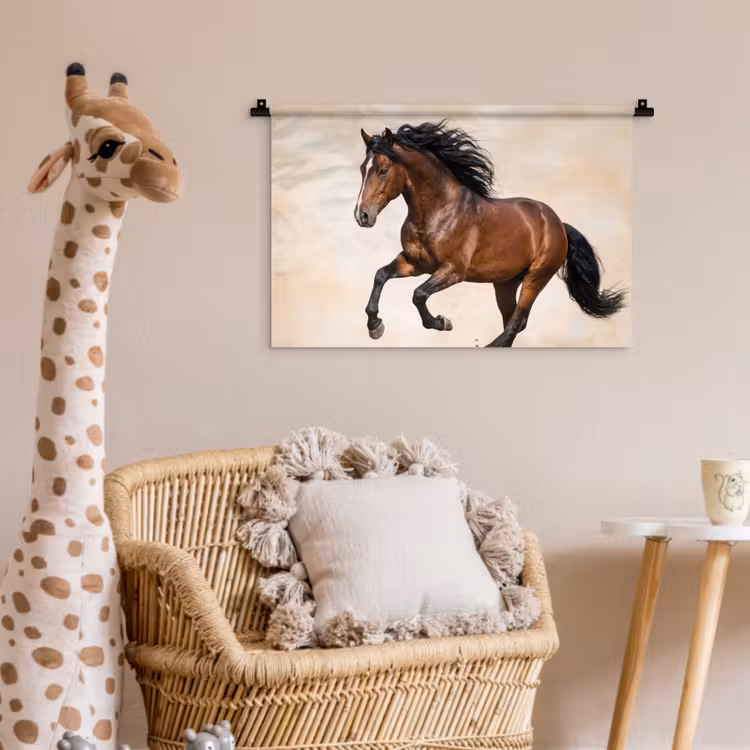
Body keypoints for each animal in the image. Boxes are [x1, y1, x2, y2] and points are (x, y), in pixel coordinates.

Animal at [353, 121, 626, 347]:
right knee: (512, 322)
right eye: (362, 168)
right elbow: (380, 275)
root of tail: (559, 223)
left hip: (537, 277)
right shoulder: (415, 263)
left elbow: (418, 294)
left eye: (383, 169)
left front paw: (442, 322)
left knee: (516, 324)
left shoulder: (453, 271)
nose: (362, 215)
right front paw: (375, 327)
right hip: (505, 283)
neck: (438, 211)